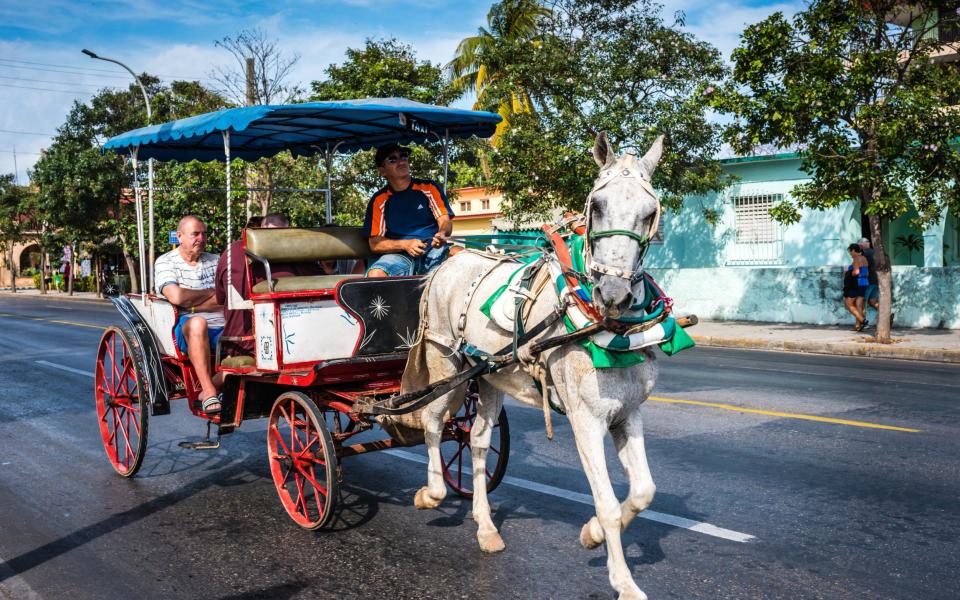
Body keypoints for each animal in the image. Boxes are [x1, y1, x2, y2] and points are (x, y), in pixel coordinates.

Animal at [402, 132, 664, 600]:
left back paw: (486, 526)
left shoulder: (628, 413)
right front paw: (623, 580)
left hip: (488, 376)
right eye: (597, 205)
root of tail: (447, 262)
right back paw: (431, 492)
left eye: (649, 212)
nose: (613, 293)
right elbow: (608, 503)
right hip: (445, 362)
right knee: (432, 421)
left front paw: (592, 534)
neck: (606, 326)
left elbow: (643, 492)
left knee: (477, 440)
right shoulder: (585, 419)